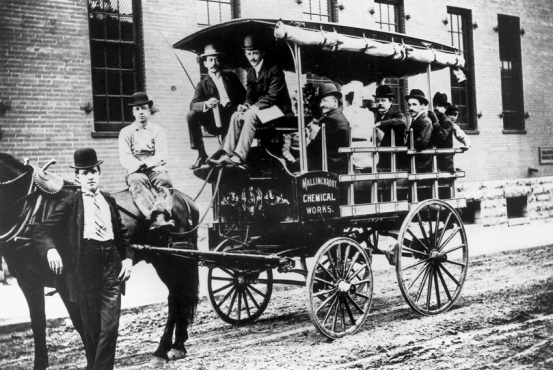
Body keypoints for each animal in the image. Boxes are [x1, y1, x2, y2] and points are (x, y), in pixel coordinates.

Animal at [0, 153, 198, 370]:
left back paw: (162, 350)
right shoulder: (28, 283)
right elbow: (38, 324)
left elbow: (79, 322)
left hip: (171, 260)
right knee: (180, 295)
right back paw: (177, 345)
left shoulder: (65, 282)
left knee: (176, 297)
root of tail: (184, 200)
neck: (32, 210)